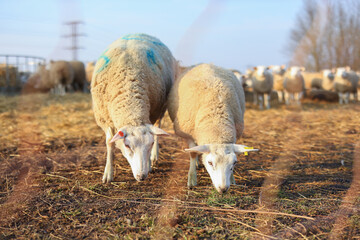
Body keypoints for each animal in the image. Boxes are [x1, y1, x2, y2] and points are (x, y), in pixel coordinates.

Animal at [90, 33, 178, 184]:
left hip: (161, 108)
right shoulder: (106, 119)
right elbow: (109, 144)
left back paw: (154, 156)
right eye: (127, 146)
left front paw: (149, 163)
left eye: (150, 143)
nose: (141, 177)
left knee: (158, 126)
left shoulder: (151, 113)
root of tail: (141, 33)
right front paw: (108, 173)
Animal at [167, 63, 258, 193]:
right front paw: (192, 179)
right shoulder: (189, 134)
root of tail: (205, 63)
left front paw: (232, 179)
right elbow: (193, 153)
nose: (223, 189)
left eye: (234, 163)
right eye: (210, 163)